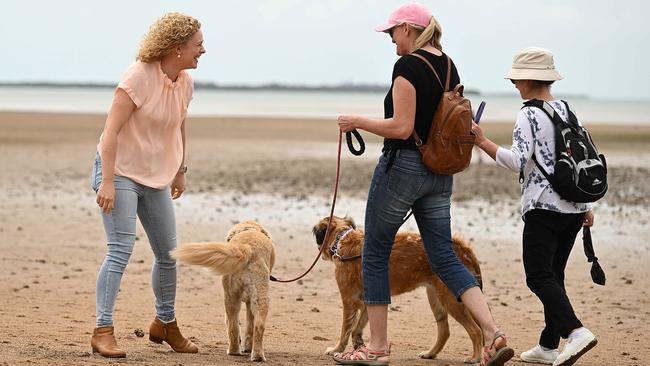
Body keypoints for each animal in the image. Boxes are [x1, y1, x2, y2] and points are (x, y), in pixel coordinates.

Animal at [172, 220, 274, 360]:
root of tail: (246, 247)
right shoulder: (248, 302)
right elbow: (249, 325)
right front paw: (248, 347)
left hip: (239, 297)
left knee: (241, 326)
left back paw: (244, 353)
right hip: (247, 296)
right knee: (244, 326)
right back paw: (245, 353)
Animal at [312, 216, 484, 362]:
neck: (342, 239)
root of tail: (460, 247)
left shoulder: (349, 300)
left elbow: (346, 329)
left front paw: (337, 349)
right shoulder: (370, 299)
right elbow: (356, 328)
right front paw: (358, 346)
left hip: (450, 299)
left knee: (476, 331)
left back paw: (475, 358)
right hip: (435, 297)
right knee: (444, 331)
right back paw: (430, 353)